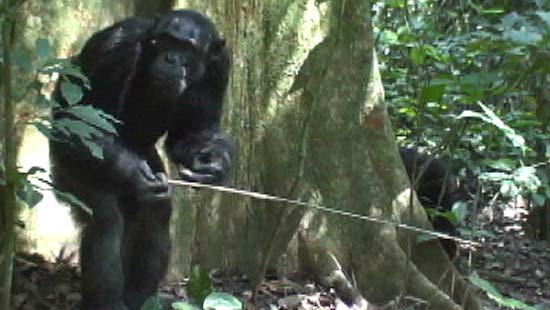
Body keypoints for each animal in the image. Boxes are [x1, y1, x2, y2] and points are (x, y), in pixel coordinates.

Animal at [49, 9, 235, 310]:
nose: (171, 59)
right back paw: (109, 303)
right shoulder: (117, 48)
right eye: (166, 41)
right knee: (106, 222)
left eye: (187, 48)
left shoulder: (220, 67)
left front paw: (213, 165)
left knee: (155, 213)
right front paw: (134, 173)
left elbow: (195, 130)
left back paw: (141, 298)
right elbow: (82, 120)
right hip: (65, 167)